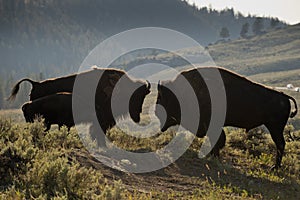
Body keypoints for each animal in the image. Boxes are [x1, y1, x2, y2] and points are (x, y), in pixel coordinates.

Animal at [156, 67, 296, 169]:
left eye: (162, 100)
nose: (156, 111)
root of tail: (285, 96)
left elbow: (218, 140)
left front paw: (213, 156)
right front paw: (212, 156)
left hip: (275, 128)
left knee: (280, 144)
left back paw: (275, 167)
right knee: (281, 144)